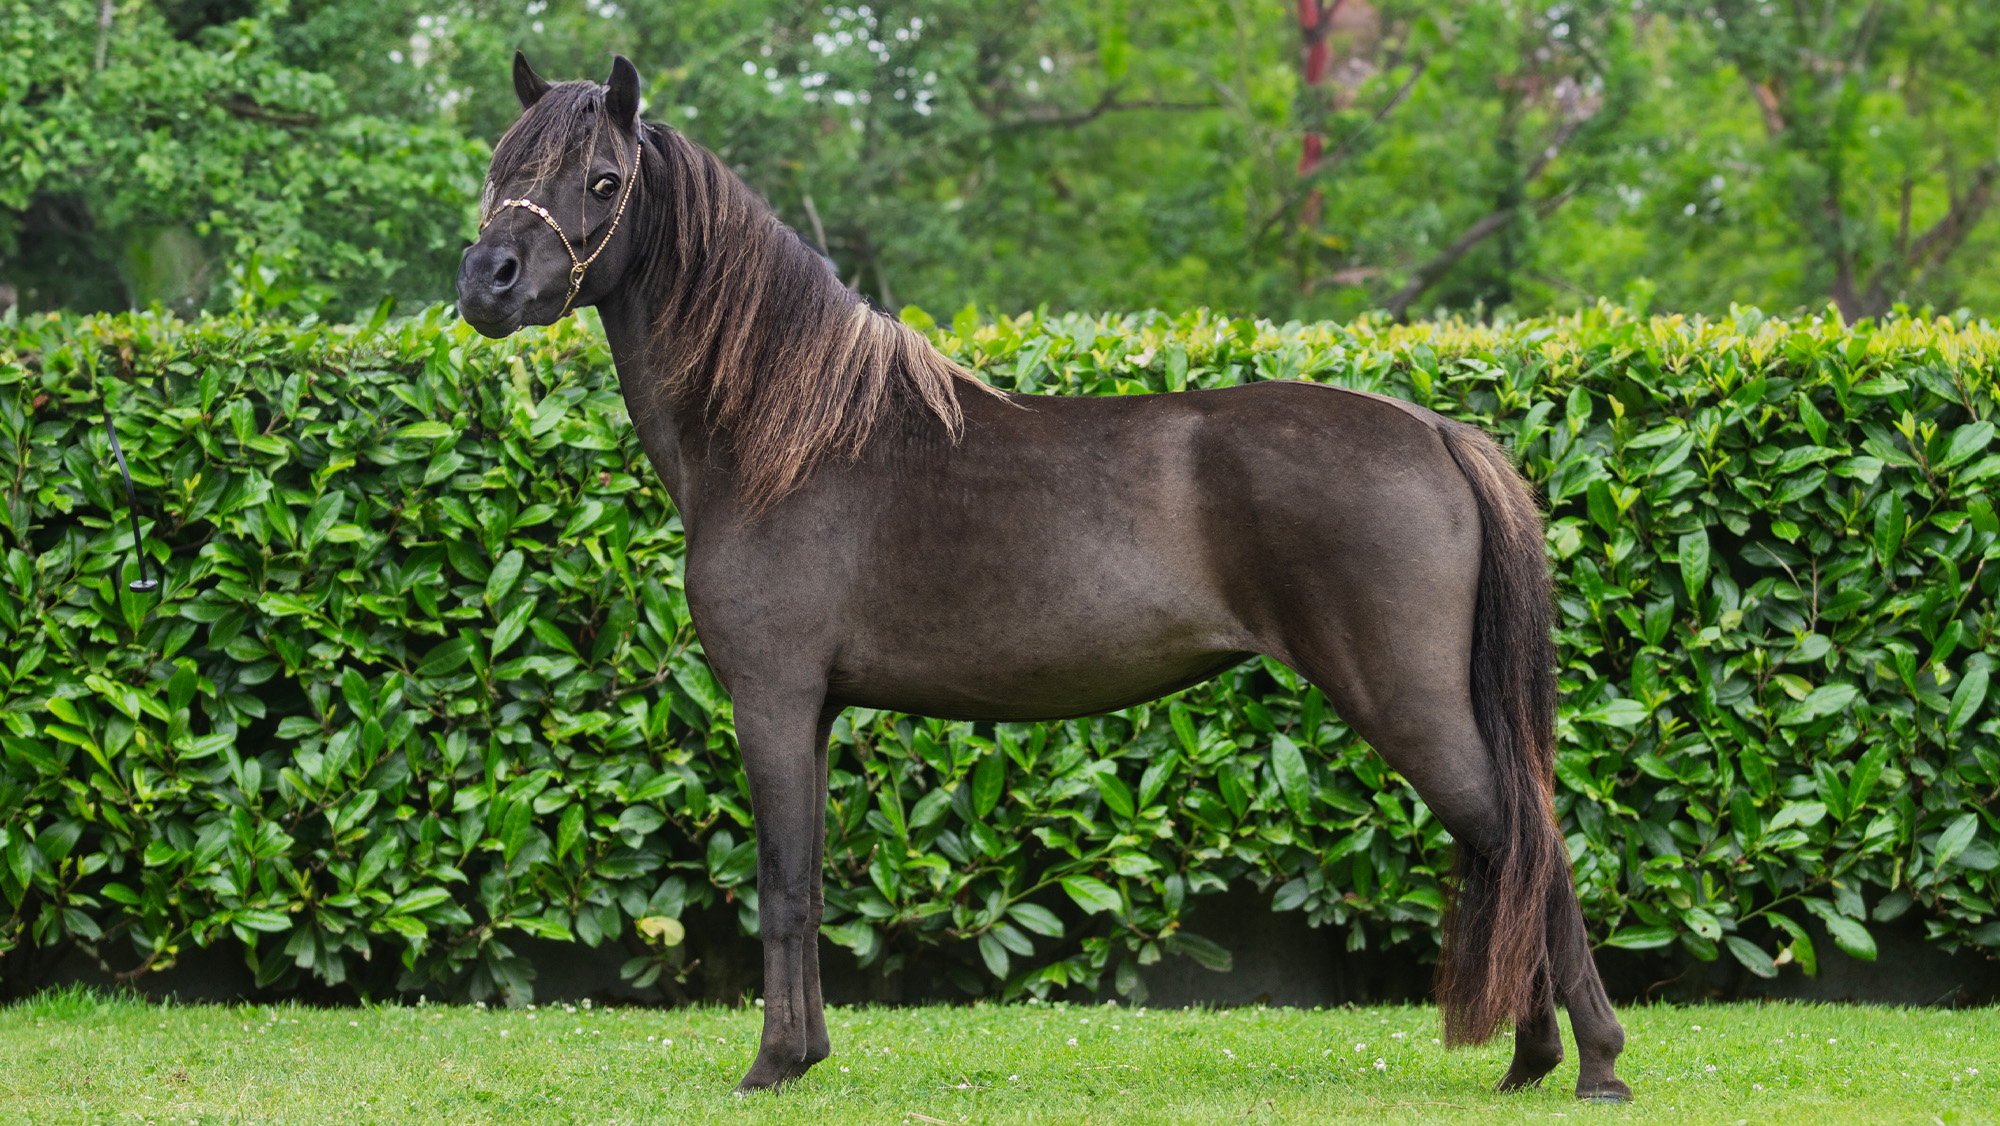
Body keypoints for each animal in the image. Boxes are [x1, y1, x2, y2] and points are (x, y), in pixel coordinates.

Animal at [455, 53, 1631, 1100]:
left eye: (603, 180)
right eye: (501, 161)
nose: (486, 282)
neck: (780, 435)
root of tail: (1435, 431)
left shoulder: (772, 698)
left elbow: (781, 885)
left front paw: (773, 1064)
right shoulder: (814, 711)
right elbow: (813, 877)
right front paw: (809, 1052)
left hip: (1406, 701)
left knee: (1530, 841)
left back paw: (1598, 1067)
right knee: (1513, 848)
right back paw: (1532, 1059)